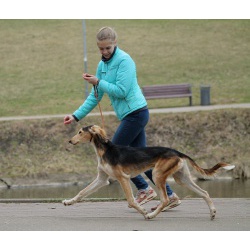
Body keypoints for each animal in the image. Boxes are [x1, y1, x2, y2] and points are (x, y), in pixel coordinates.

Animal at [62, 124, 234, 220]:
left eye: (80, 132)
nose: (70, 141)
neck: (105, 150)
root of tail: (177, 151)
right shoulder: (101, 179)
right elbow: (82, 192)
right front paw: (69, 201)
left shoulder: (123, 178)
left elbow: (131, 201)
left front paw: (143, 211)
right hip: (182, 178)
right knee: (204, 192)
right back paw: (212, 213)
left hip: (157, 174)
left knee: (164, 199)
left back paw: (151, 215)